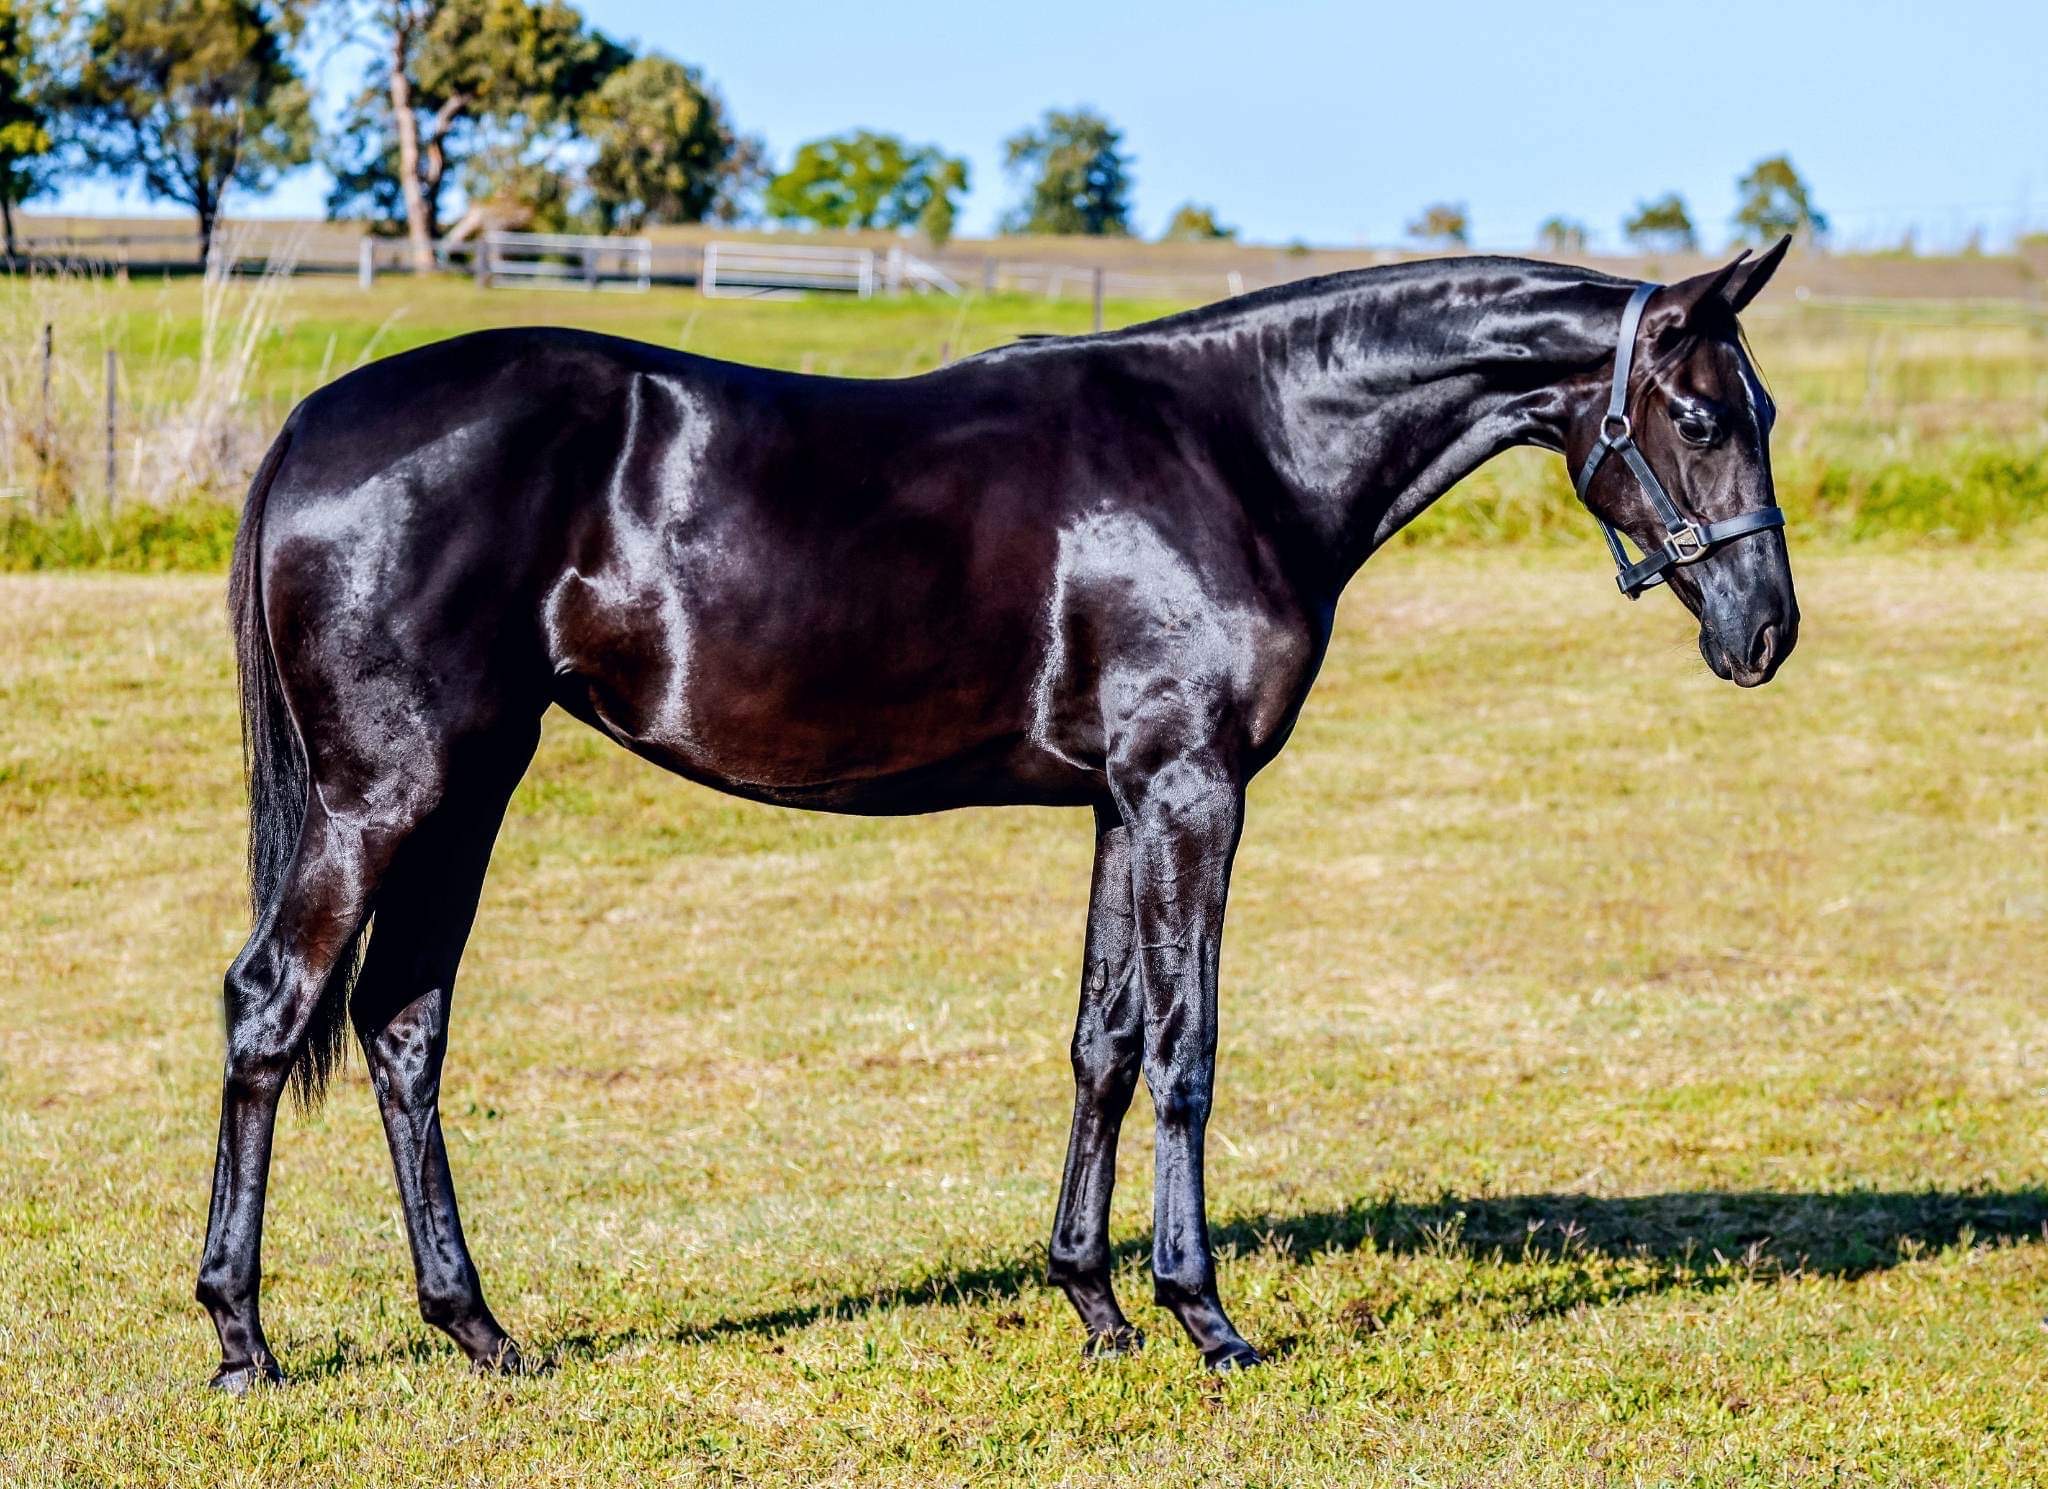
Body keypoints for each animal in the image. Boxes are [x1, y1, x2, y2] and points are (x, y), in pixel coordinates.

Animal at [198, 238, 1798, 1390]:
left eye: (1762, 411)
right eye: (1702, 413)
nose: (1764, 631)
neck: (1239, 448)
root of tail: (316, 424)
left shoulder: (1122, 802)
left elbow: (1102, 1042)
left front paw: (1095, 1303)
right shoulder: (1191, 789)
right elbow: (1186, 1048)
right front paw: (1204, 1316)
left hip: (469, 788)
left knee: (402, 1025)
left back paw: (479, 1329)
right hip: (387, 795)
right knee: (273, 1005)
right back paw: (242, 1337)